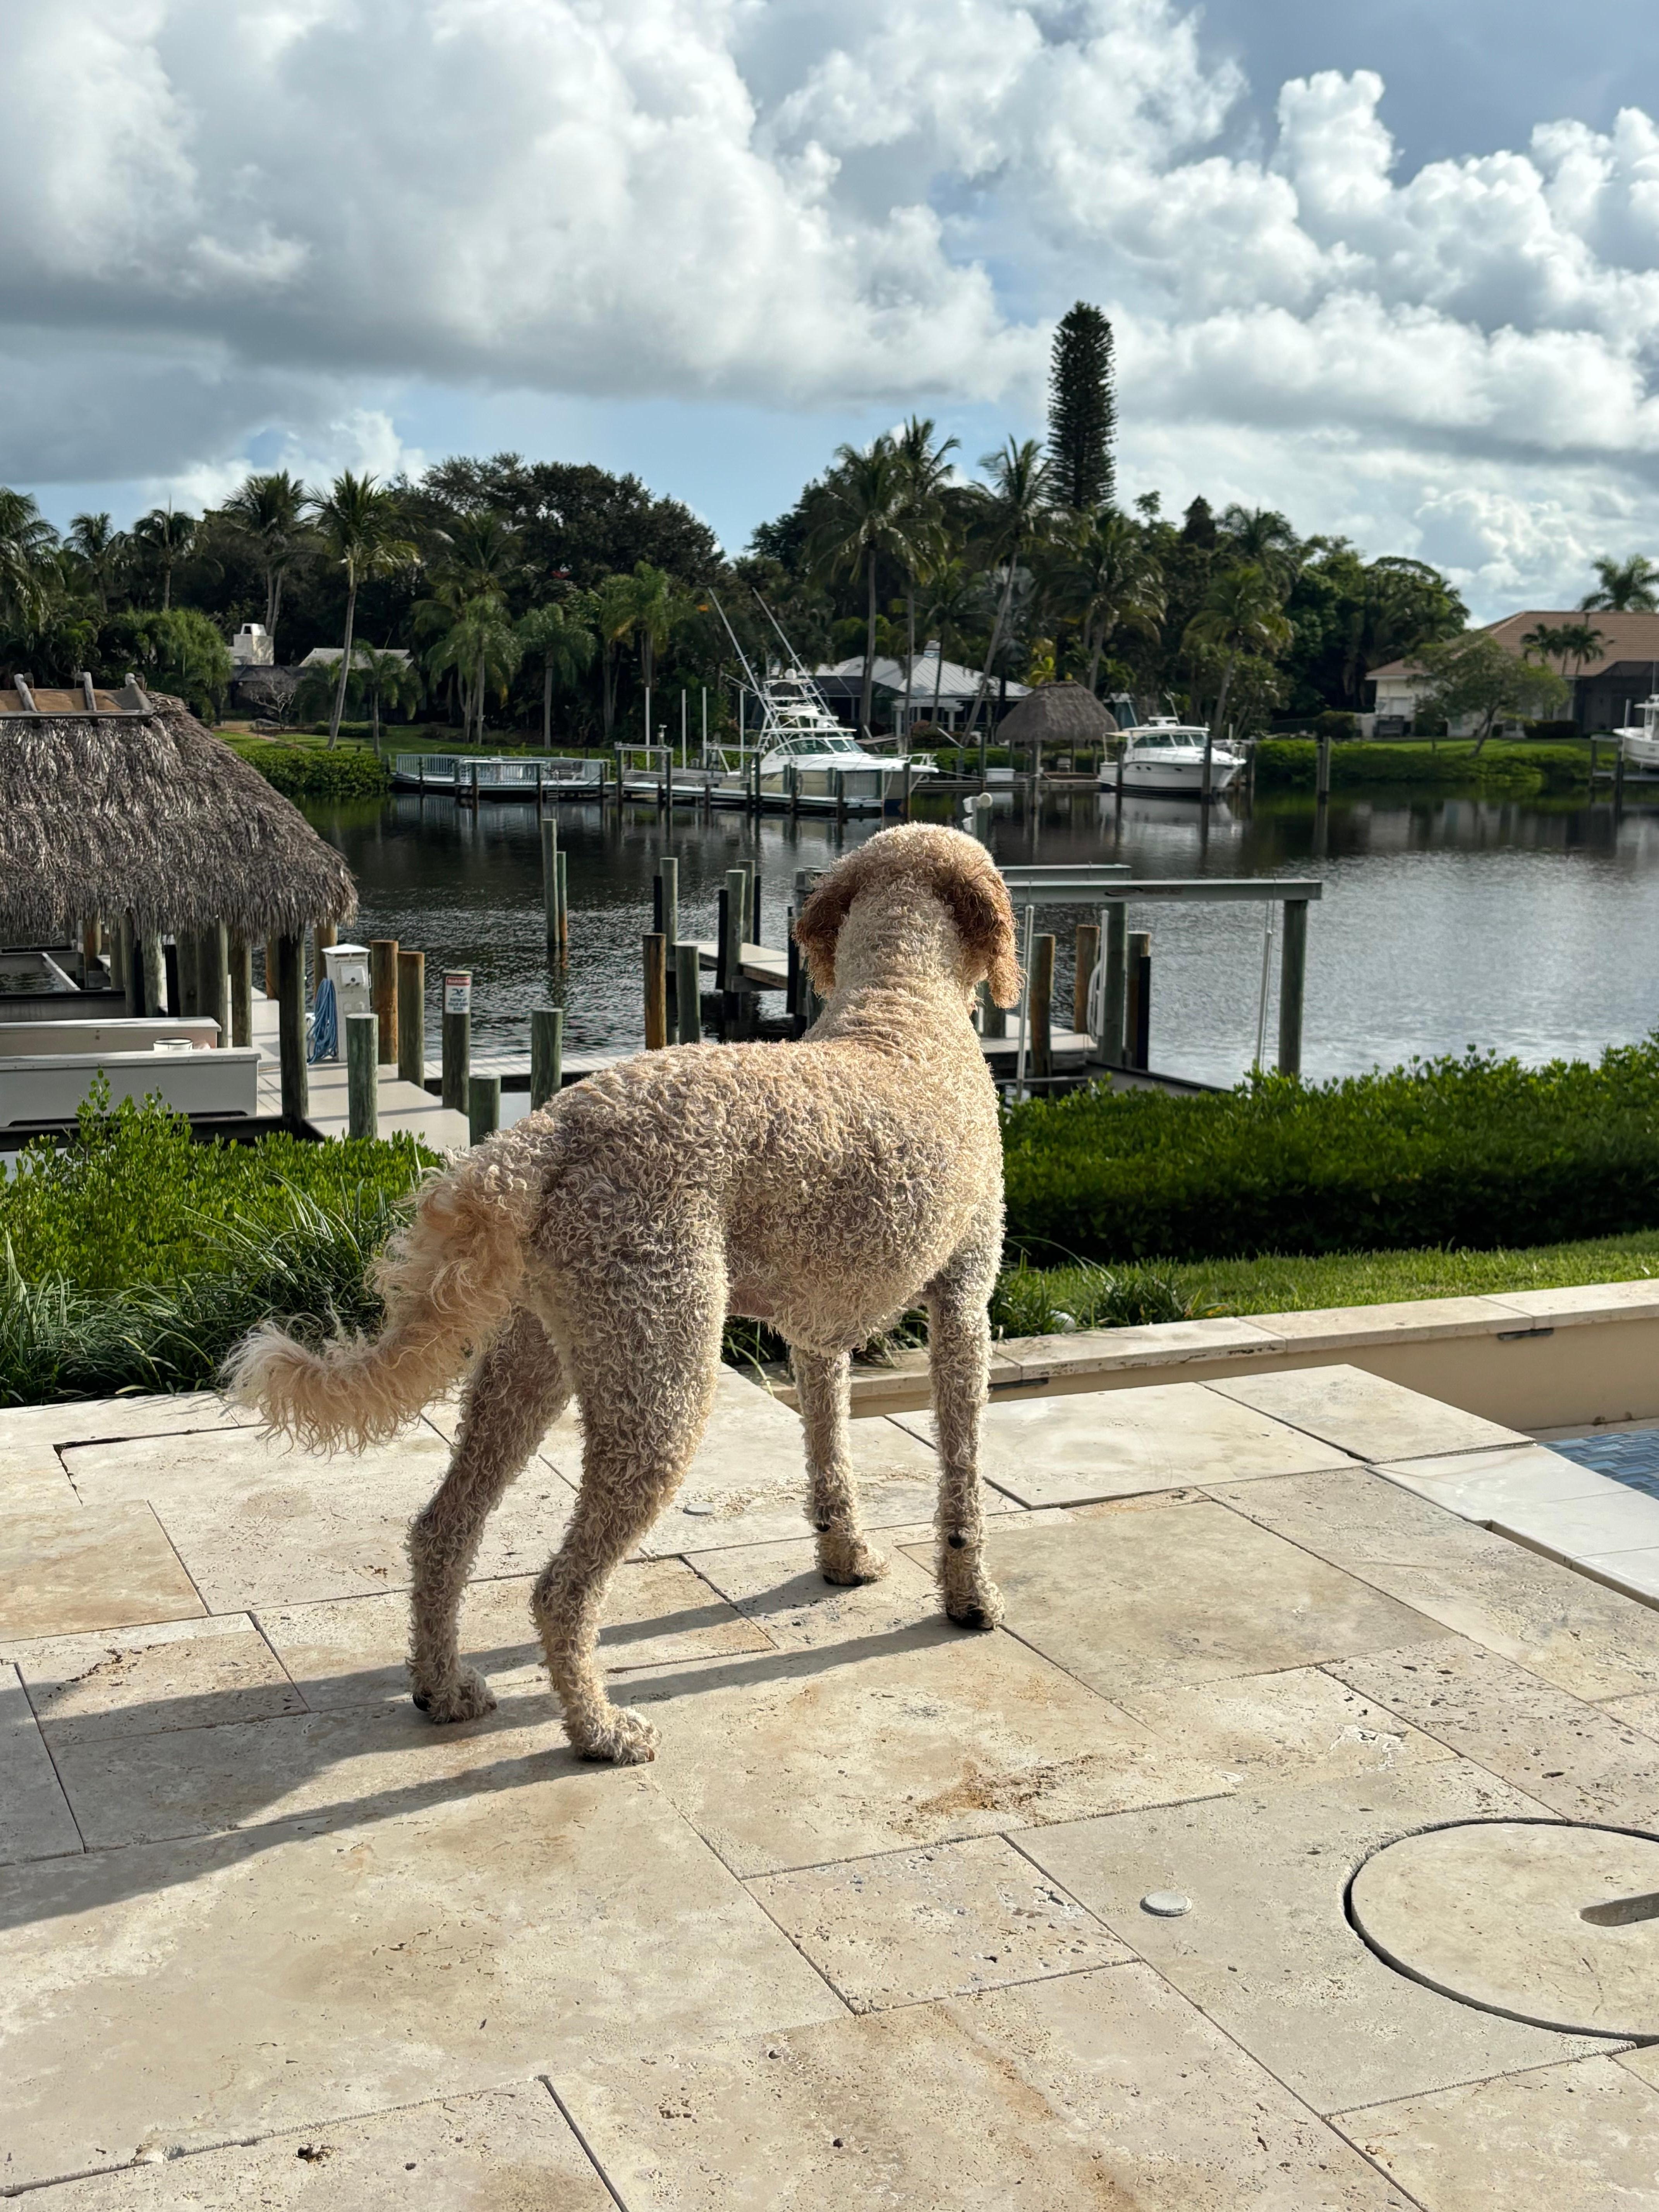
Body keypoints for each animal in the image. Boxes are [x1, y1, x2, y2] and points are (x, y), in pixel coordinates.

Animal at [229, 823, 1022, 1763]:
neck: (903, 999)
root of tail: (543, 1136)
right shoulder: (964, 1301)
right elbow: (962, 1476)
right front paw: (971, 1599)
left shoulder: (814, 1337)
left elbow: (829, 1455)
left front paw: (844, 1558)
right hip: (659, 1375)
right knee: (560, 1589)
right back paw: (600, 1730)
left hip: (530, 1358)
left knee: (443, 1529)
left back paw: (442, 1688)